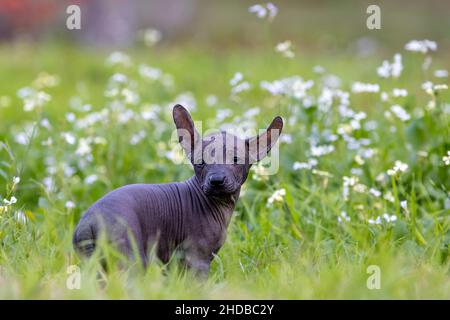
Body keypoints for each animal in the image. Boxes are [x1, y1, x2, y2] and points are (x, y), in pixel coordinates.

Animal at [74, 104, 284, 276]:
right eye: (200, 162)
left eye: (236, 160)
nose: (216, 180)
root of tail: (88, 222)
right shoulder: (197, 259)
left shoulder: (173, 263)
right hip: (128, 255)